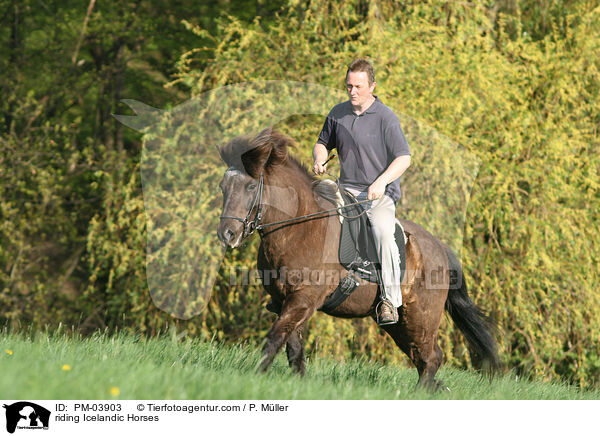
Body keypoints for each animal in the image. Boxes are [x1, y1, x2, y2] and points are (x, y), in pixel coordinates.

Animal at [216, 127, 496, 390]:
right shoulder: (285, 300)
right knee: (424, 358)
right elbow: (293, 349)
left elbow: (274, 339)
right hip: (399, 323)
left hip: (421, 318)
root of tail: (441, 248)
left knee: (430, 358)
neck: (299, 228)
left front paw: (254, 379)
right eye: (223, 187)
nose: (226, 234)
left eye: (251, 186)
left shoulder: (303, 299)